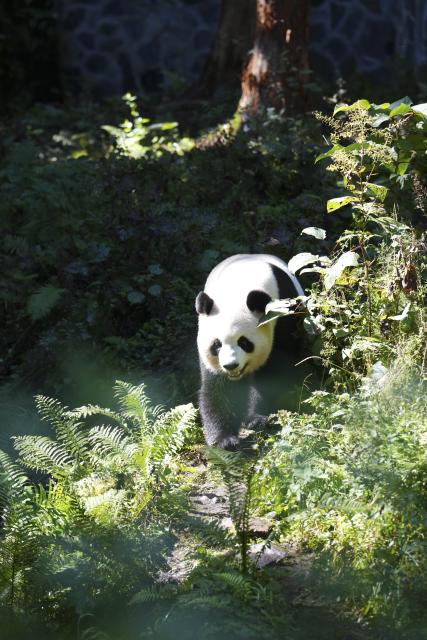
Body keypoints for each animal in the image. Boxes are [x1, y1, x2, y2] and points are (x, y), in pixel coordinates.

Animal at [195, 254, 304, 450]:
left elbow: (274, 372)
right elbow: (218, 387)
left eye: (244, 342)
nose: (231, 366)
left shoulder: (283, 314)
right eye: (217, 344)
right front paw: (224, 439)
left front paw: (257, 418)